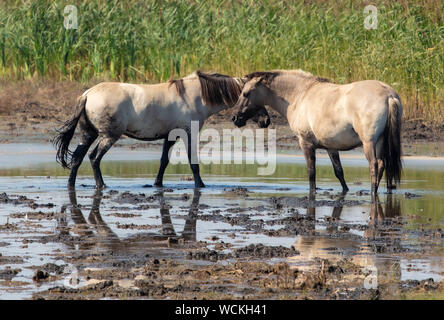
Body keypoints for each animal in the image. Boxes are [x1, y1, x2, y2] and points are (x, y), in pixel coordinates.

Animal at [54, 70, 270, 190]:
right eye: (250, 95)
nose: (266, 120)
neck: (197, 95)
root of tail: (87, 94)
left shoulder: (171, 136)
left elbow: (163, 161)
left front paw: (157, 184)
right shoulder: (188, 133)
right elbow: (193, 163)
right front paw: (200, 185)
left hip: (88, 134)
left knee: (77, 158)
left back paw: (70, 185)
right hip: (108, 136)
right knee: (94, 158)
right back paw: (101, 185)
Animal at [232, 69, 402, 198]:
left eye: (246, 93)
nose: (235, 118)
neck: (299, 95)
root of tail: (389, 95)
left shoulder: (306, 143)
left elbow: (311, 172)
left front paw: (312, 192)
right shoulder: (331, 147)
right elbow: (339, 172)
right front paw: (345, 191)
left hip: (369, 142)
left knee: (374, 165)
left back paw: (373, 193)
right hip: (380, 141)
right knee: (381, 164)